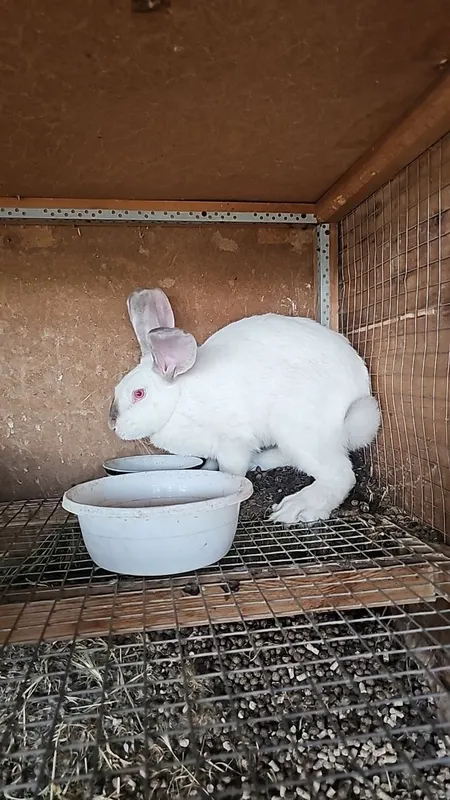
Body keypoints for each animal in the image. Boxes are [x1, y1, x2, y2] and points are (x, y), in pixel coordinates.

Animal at [109, 288, 380, 524]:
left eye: (139, 394)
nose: (112, 425)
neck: (178, 399)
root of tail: (357, 391)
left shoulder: (232, 442)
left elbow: (231, 469)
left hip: (298, 428)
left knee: (340, 474)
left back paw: (297, 508)